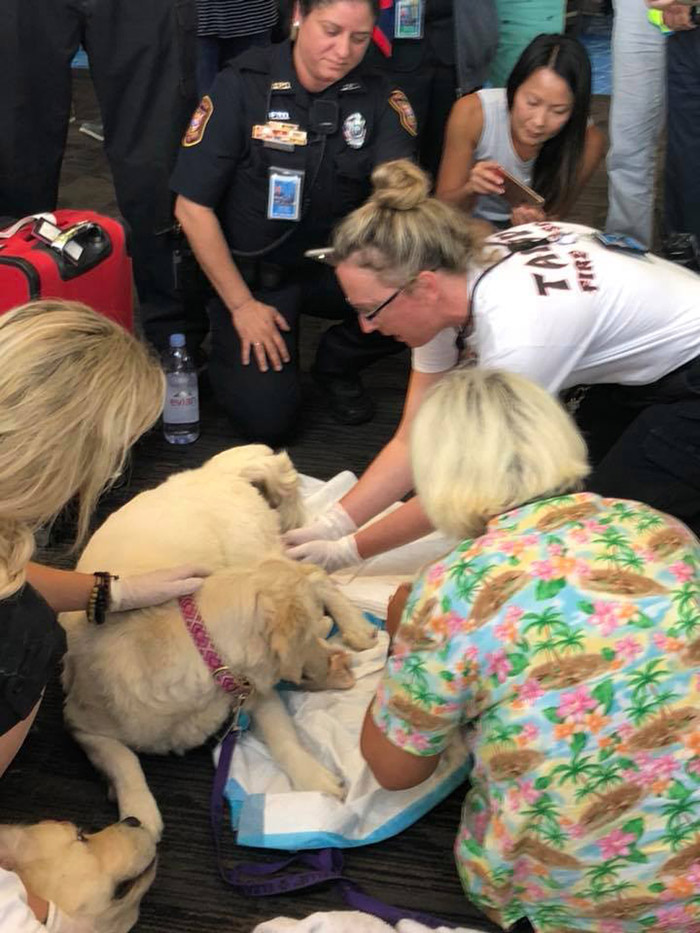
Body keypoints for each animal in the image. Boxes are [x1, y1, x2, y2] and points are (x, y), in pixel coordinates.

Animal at [60, 444, 378, 836]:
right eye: (301, 640)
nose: (331, 659)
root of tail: (215, 471)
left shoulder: (251, 690)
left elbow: (284, 738)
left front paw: (314, 777)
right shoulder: (80, 722)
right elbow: (124, 759)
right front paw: (138, 812)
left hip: (256, 550)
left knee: (316, 573)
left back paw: (352, 625)